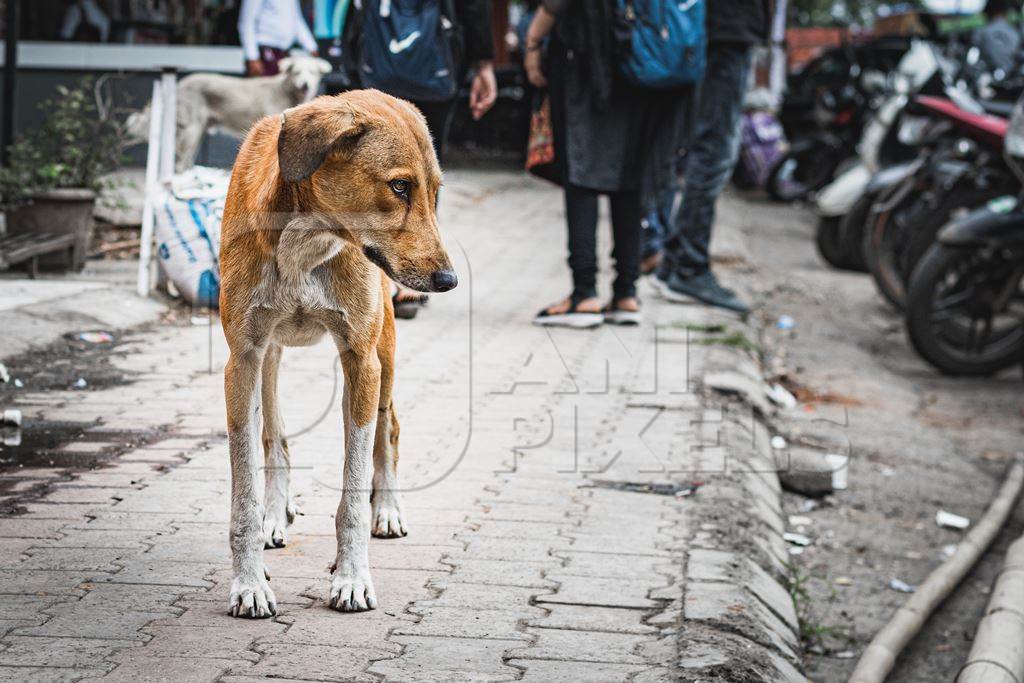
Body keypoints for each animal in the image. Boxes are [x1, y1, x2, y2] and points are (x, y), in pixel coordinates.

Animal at [125, 54, 329, 172]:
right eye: (297, 72)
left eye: (312, 72)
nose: (305, 84)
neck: (286, 91)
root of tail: (181, 84)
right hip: (192, 130)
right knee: (179, 162)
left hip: (198, 132)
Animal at [219, 88, 456, 618]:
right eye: (400, 187)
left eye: (436, 193)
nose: (450, 280)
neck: (307, 239)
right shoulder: (242, 358)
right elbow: (245, 488)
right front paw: (249, 582)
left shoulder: (361, 359)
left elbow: (353, 488)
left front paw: (352, 578)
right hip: (270, 357)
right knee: (275, 438)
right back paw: (275, 514)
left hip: (384, 351)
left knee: (389, 428)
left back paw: (387, 509)